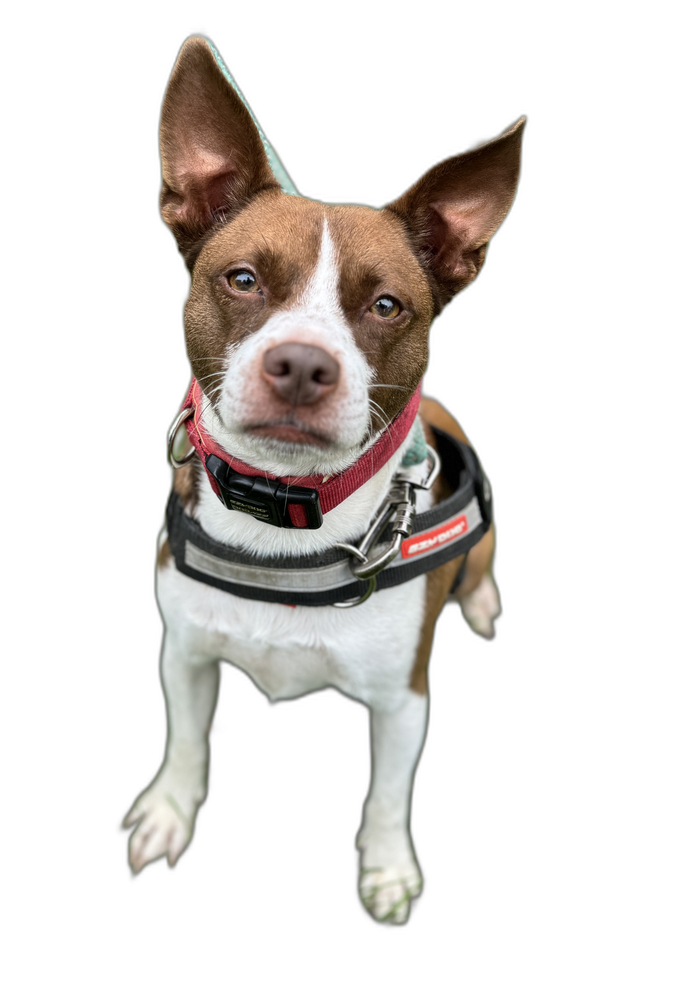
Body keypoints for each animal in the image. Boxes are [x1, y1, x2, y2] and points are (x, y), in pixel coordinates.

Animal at [122, 34, 525, 925]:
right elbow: (185, 739)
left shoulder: (403, 698)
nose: (303, 364)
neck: (280, 515)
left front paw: (386, 869)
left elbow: (387, 794)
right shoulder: (184, 652)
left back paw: (480, 600)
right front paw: (169, 810)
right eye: (241, 279)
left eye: (386, 306)